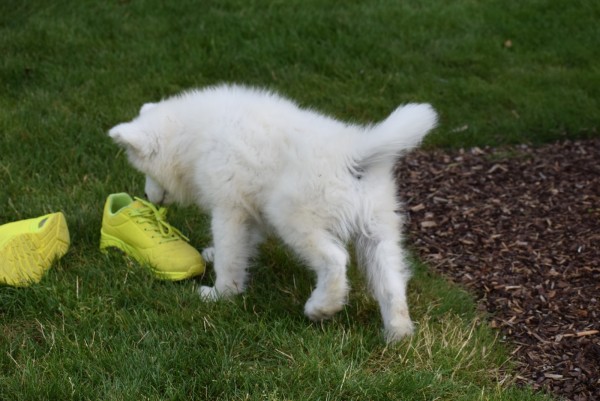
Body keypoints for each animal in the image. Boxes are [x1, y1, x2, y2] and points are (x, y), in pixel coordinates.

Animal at [108, 84, 437, 342]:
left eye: (145, 171)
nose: (147, 196)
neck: (195, 136)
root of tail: (354, 154)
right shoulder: (250, 209)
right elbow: (244, 244)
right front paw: (215, 257)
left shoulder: (229, 208)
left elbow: (230, 254)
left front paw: (220, 294)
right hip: (378, 232)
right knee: (391, 283)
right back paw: (397, 332)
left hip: (293, 217)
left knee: (335, 259)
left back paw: (321, 307)